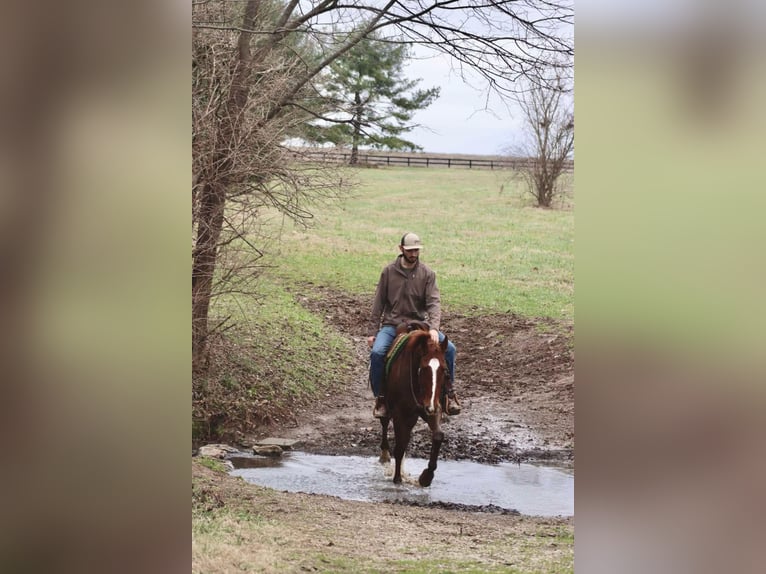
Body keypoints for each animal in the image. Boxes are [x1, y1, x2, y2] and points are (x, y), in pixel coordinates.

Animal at [378, 322, 450, 488]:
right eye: (423, 368)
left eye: (444, 370)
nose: (429, 406)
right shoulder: (399, 413)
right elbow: (399, 447)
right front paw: (397, 479)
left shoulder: (434, 408)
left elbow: (438, 435)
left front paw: (426, 477)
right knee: (385, 423)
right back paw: (385, 455)